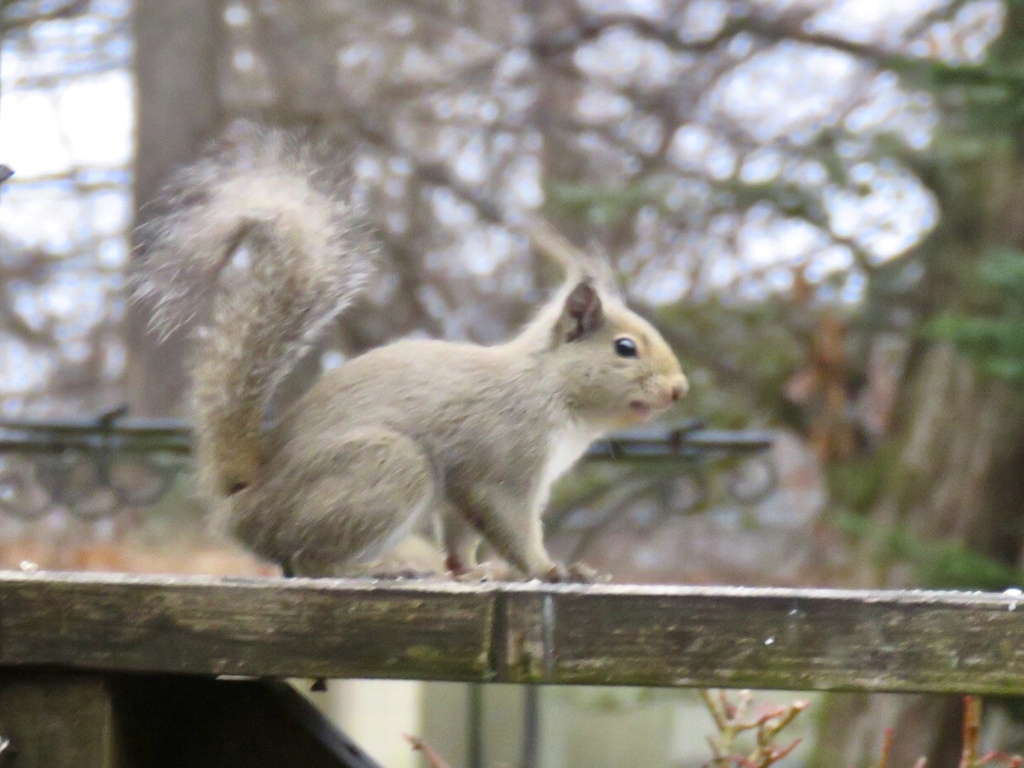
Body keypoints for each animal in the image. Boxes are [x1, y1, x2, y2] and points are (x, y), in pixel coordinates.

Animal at [132, 126, 684, 581]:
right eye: (625, 348)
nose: (679, 390)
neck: (550, 388)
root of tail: (246, 493)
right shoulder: (501, 463)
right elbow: (510, 523)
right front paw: (551, 571)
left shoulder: (466, 492)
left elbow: (461, 536)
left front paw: (473, 571)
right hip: (387, 467)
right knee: (308, 560)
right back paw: (375, 569)